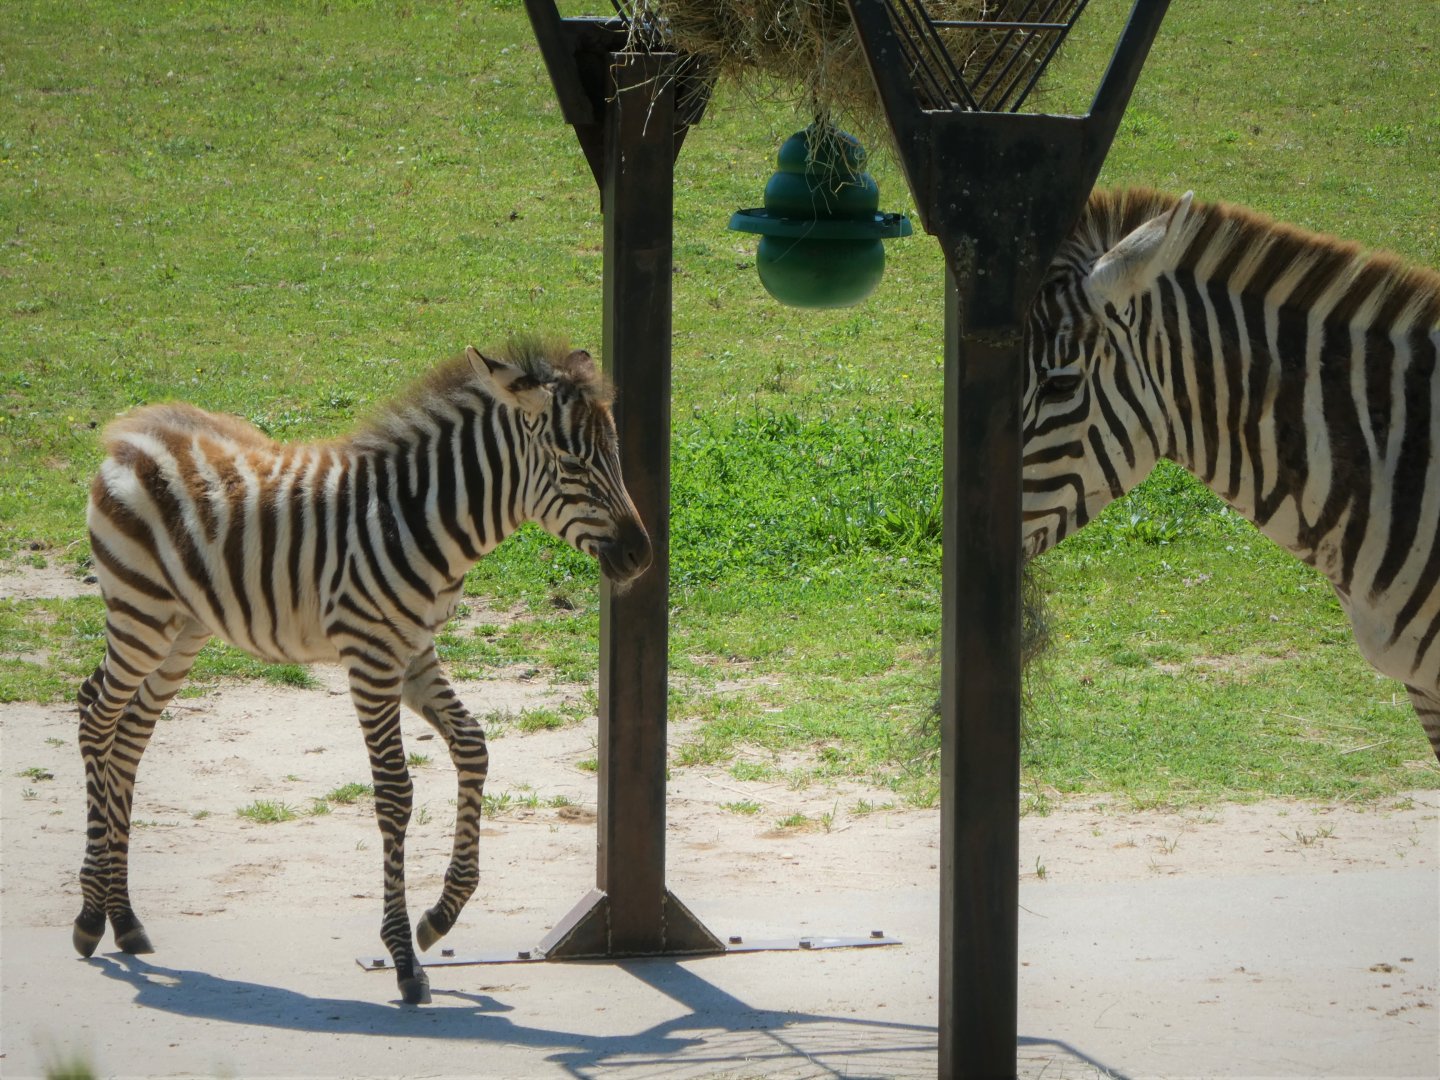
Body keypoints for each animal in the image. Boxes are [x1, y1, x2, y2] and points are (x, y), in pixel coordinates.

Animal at [74, 338, 651, 1004]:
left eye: (614, 453)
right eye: (571, 460)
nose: (641, 555)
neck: (424, 520)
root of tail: (131, 432)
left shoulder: (414, 651)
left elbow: (473, 746)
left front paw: (439, 918)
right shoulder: (371, 657)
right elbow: (396, 793)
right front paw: (403, 959)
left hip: (181, 628)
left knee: (128, 735)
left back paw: (124, 918)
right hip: (139, 611)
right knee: (95, 716)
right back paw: (89, 918)